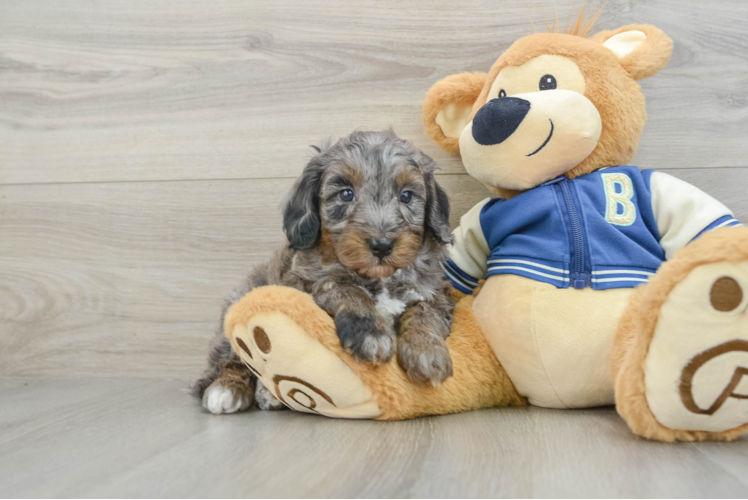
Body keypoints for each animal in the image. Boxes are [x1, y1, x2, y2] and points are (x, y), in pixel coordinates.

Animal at [191, 129, 456, 414]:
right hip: (240, 305)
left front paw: (428, 352)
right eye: (346, 194)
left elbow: (423, 314)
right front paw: (371, 334)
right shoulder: (313, 282)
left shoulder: (435, 293)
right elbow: (350, 291)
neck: (379, 277)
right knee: (234, 359)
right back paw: (228, 389)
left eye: (406, 196)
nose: (382, 245)